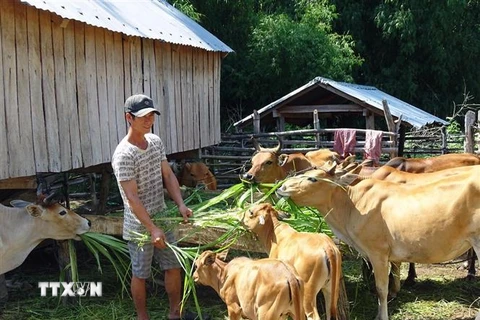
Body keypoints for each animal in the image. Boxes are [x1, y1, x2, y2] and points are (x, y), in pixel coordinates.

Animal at [276, 162, 480, 320]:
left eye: (312, 179)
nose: (280, 188)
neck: (353, 205)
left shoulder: (378, 253)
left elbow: (381, 288)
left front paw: (381, 315)